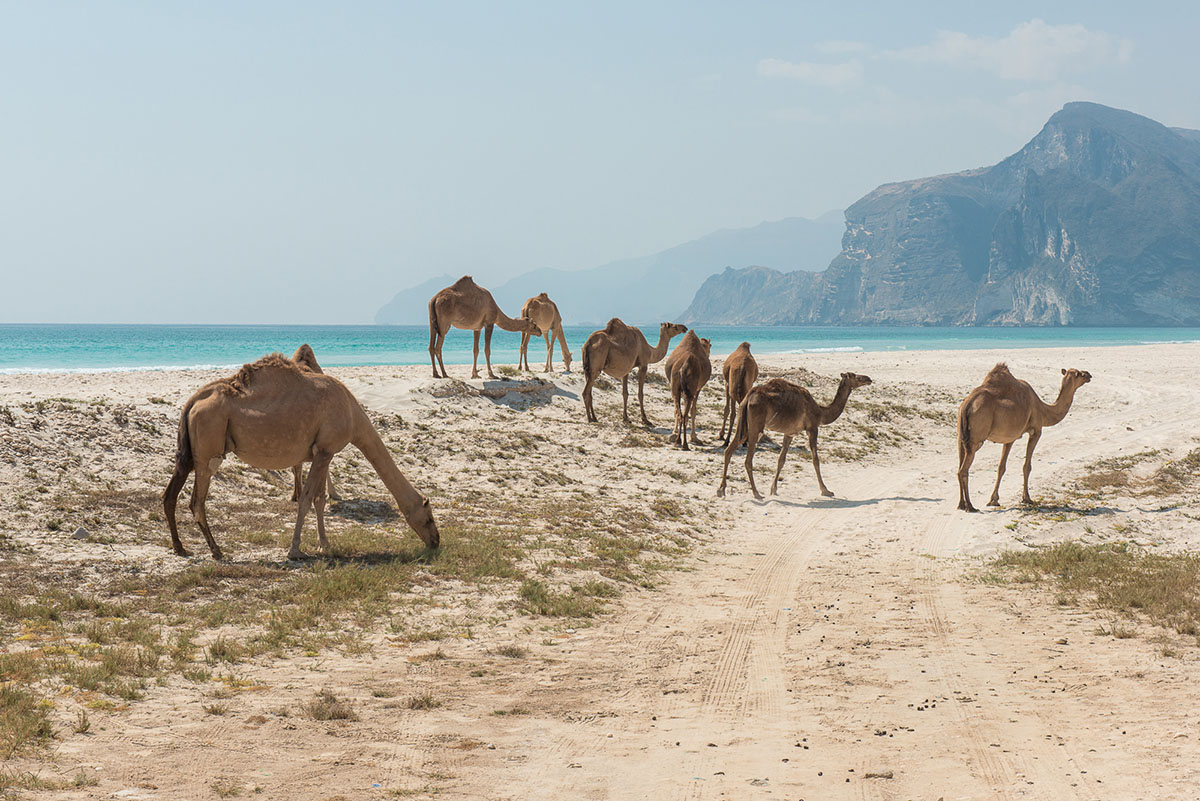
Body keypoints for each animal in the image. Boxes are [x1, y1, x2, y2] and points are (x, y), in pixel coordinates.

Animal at [717, 372, 873, 500]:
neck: (821, 412)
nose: (869, 379)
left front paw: (773, 490)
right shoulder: (812, 428)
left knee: (729, 451)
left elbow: (781, 460)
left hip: (743, 421)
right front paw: (826, 491)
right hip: (756, 425)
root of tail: (749, 396)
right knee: (748, 460)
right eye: (856, 377)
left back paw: (721, 490)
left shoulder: (789, 433)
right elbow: (815, 460)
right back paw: (756, 493)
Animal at [956, 364, 1092, 512]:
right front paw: (1027, 498)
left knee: (959, 467)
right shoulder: (1036, 431)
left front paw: (994, 500)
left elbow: (1001, 467)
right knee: (963, 470)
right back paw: (970, 506)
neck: (1043, 410)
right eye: (1080, 374)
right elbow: (1027, 466)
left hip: (961, 436)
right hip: (976, 438)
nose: (1089, 374)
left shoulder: (1010, 438)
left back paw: (961, 504)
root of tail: (967, 405)